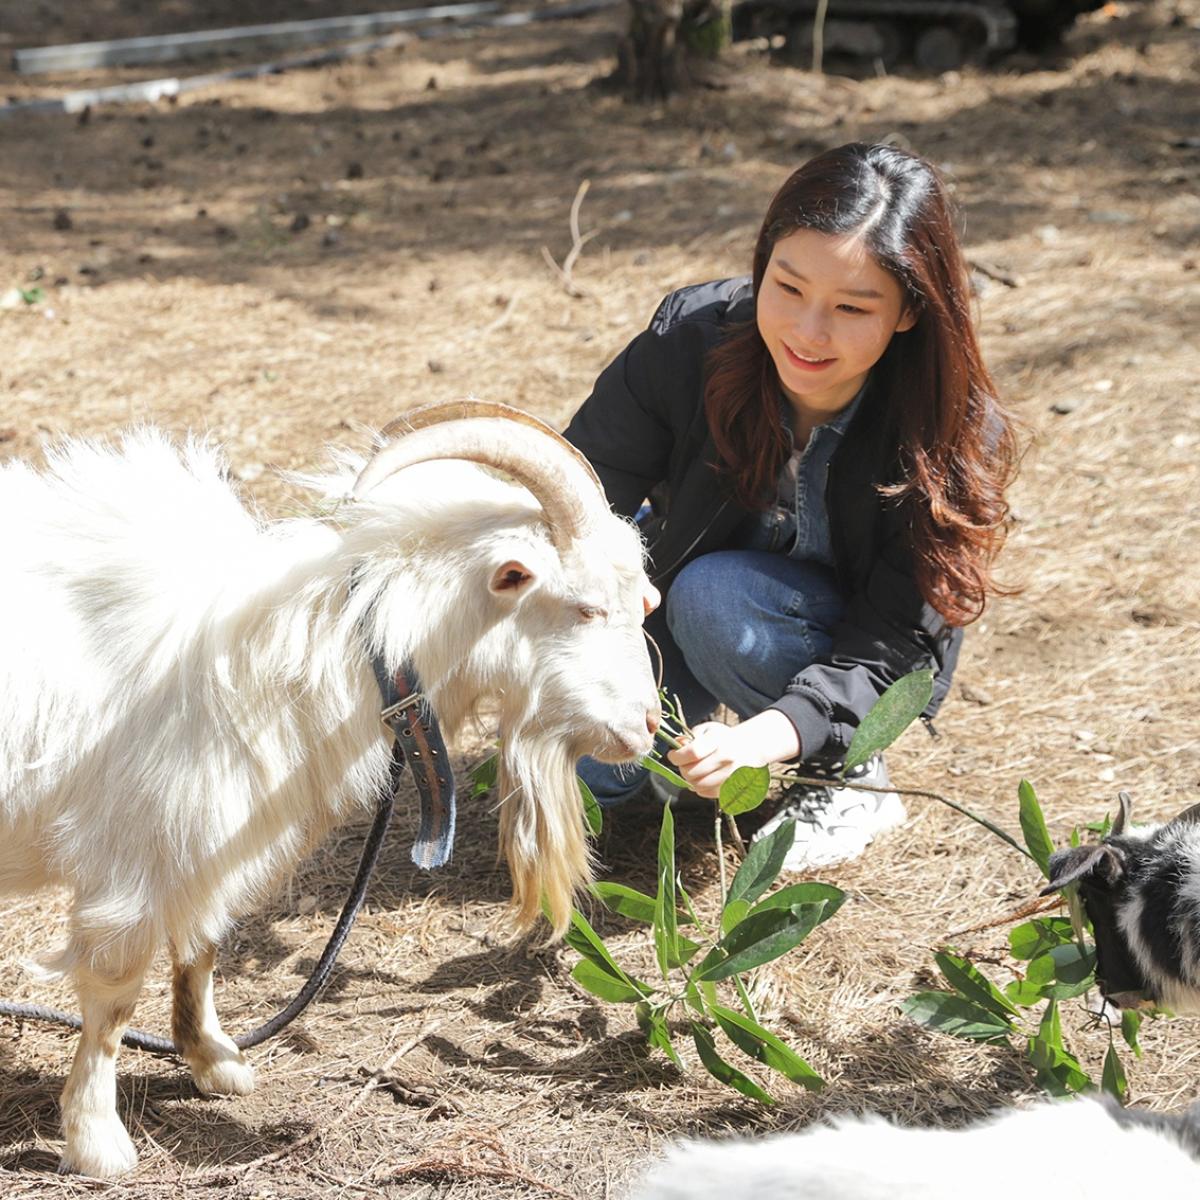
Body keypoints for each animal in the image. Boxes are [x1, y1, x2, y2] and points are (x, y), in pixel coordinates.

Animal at [0, 400, 662, 1171]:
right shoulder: (132, 860)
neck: (311, 647)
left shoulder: (208, 845)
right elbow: (114, 1002)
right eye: (584, 608)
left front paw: (216, 1062)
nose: (648, 726)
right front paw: (98, 1141)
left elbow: (200, 949)